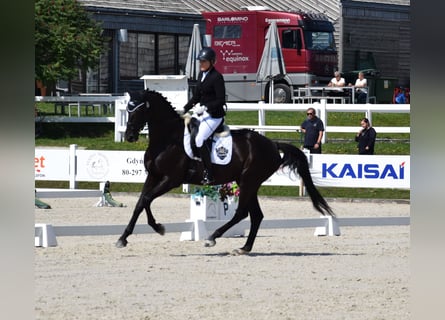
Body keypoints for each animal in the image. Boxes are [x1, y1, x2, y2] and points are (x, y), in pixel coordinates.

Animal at [116, 89, 332, 254]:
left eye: (139, 110)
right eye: (127, 110)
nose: (129, 136)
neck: (167, 139)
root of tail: (272, 143)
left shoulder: (170, 179)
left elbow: (146, 199)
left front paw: (158, 228)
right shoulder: (153, 176)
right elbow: (141, 203)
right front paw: (124, 237)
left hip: (248, 181)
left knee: (242, 213)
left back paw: (212, 237)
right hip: (248, 183)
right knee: (256, 215)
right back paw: (244, 248)